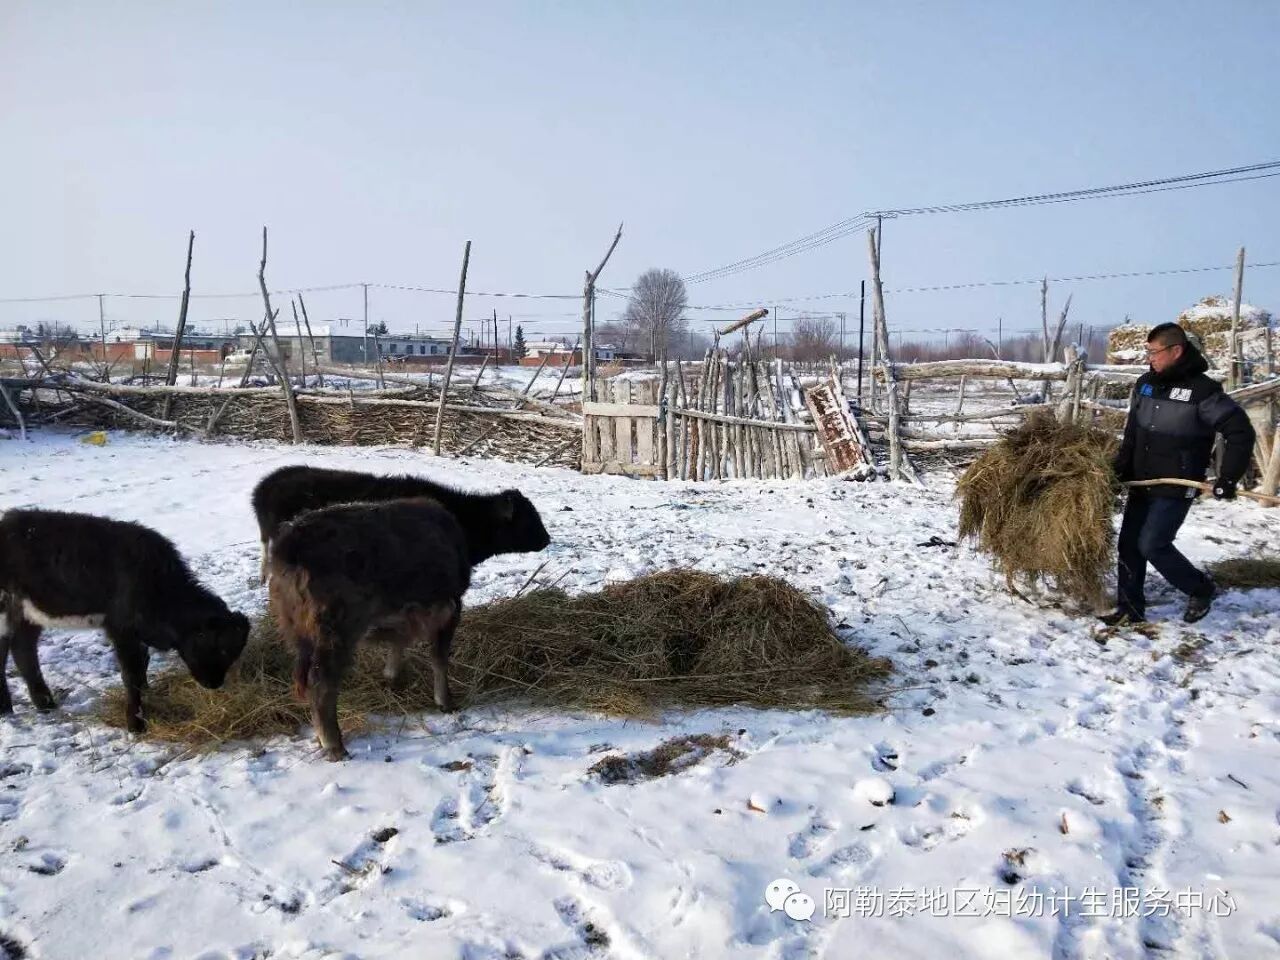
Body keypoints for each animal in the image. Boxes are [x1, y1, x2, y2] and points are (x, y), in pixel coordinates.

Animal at [0, 509, 250, 732]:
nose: (214, 684)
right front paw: (136, 724)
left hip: (27, 614)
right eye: (215, 648)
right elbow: (131, 675)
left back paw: (45, 703)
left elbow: (143, 666)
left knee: (23, 649)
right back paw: (6, 709)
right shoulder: (121, 628)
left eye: (234, 652)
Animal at [268, 491, 549, 760]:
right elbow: (439, 657)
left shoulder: (404, 614)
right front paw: (445, 701)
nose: (547, 538)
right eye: (529, 516)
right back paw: (334, 745)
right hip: (336, 631)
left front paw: (392, 679)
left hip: (299, 633)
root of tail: (289, 543)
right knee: (321, 683)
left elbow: (398, 643)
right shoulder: (450, 606)